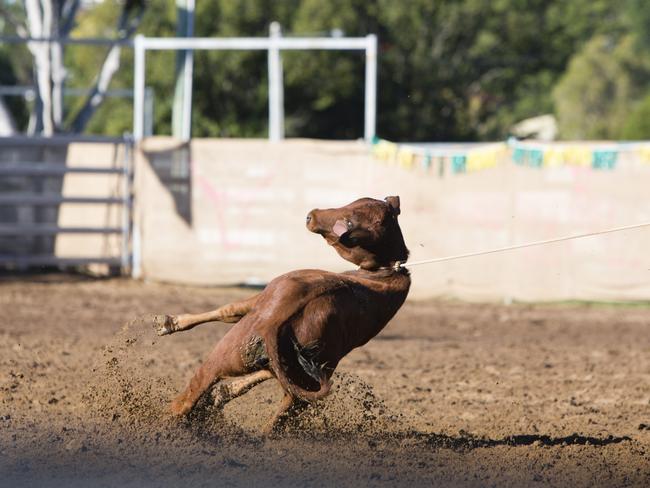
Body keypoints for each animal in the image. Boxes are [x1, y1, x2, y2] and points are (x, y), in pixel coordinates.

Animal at [153, 196, 410, 432]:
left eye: (348, 221)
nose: (311, 216)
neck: (386, 270)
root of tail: (276, 320)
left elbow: (229, 310)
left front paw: (168, 322)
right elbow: (265, 371)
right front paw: (225, 392)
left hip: (225, 352)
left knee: (190, 395)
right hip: (300, 380)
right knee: (282, 410)